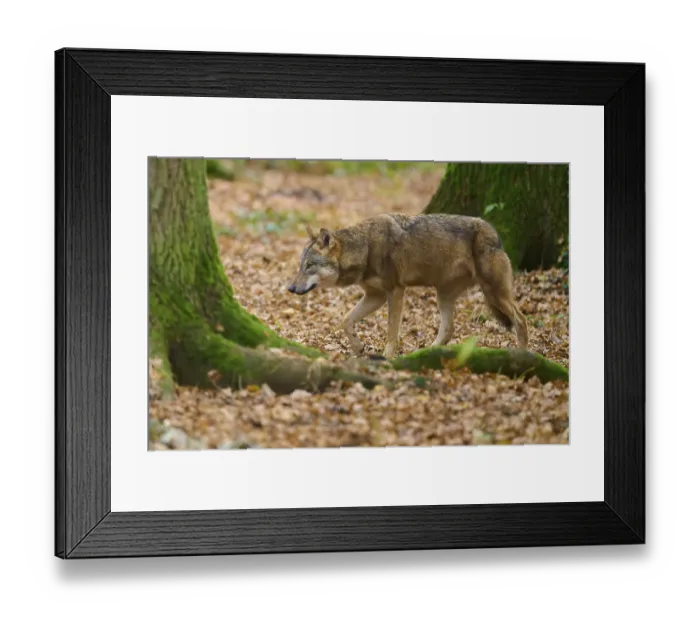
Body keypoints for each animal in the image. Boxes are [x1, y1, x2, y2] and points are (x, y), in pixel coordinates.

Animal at [288, 213, 528, 358]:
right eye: (300, 265)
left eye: (309, 266)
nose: (290, 288)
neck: (365, 248)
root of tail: (494, 233)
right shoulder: (375, 296)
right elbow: (346, 320)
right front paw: (358, 347)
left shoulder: (395, 291)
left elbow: (391, 332)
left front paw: (387, 358)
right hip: (444, 295)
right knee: (449, 329)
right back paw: (424, 355)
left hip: (494, 293)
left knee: (521, 319)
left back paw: (524, 356)